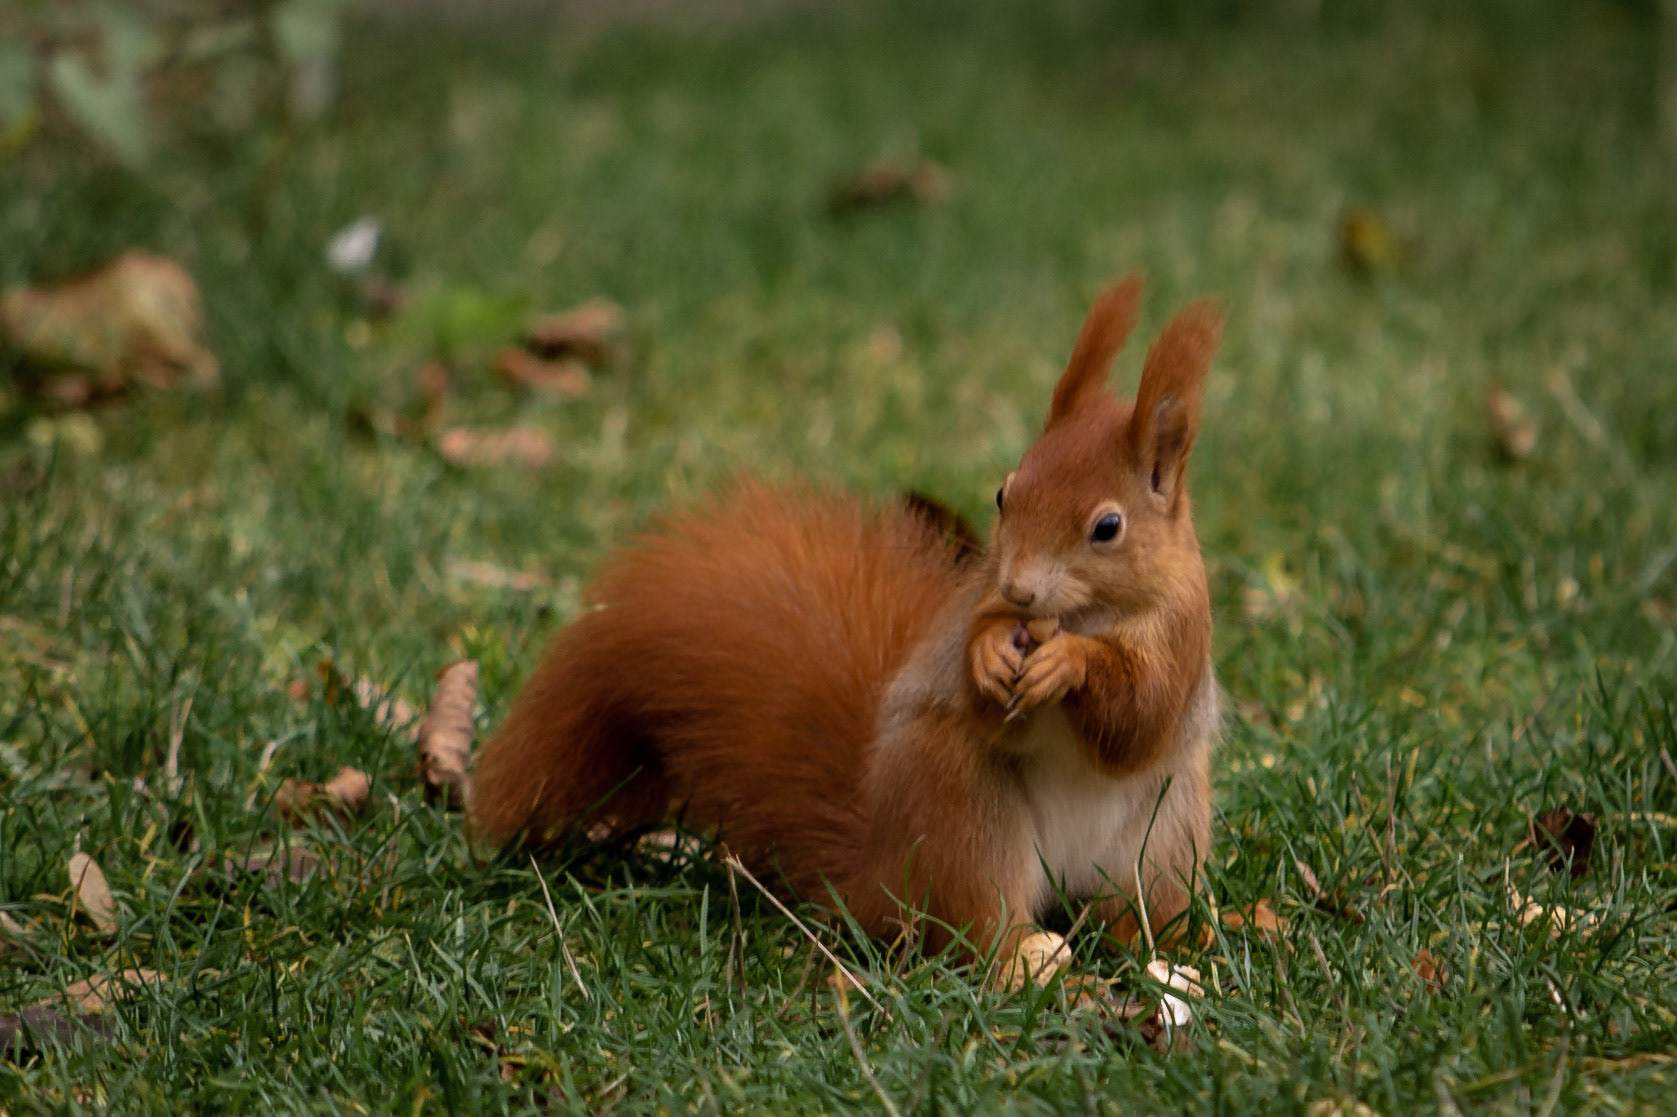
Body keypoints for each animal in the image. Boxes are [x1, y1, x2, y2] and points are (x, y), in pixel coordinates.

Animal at [468, 273, 1222, 984]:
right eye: (1004, 494)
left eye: (1107, 527)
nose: (1019, 589)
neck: (1081, 614)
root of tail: (875, 877)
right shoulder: (975, 605)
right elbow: (980, 681)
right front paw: (986, 657)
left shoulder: (1184, 631)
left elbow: (1140, 715)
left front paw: (1070, 663)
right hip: (961, 810)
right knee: (970, 930)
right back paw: (1026, 957)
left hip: (1162, 837)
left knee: (1124, 912)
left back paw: (1164, 953)